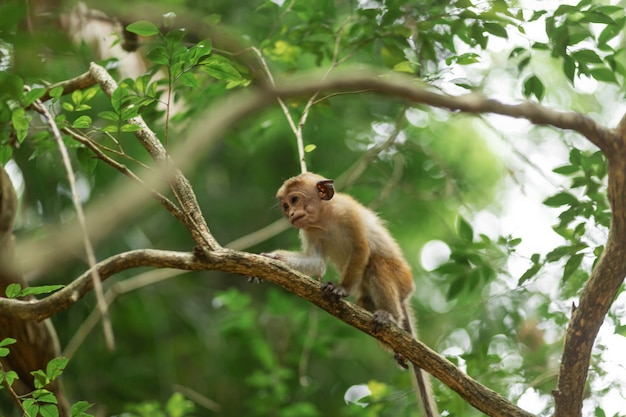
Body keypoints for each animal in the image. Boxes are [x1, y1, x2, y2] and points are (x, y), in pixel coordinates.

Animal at [264, 171, 438, 414]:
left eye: (295, 200)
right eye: (285, 205)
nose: (290, 214)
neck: (325, 217)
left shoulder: (348, 213)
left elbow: (361, 249)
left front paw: (341, 288)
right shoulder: (309, 230)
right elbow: (316, 263)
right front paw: (273, 257)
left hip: (402, 278)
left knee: (376, 263)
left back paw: (391, 316)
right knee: (364, 301)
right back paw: (396, 347)